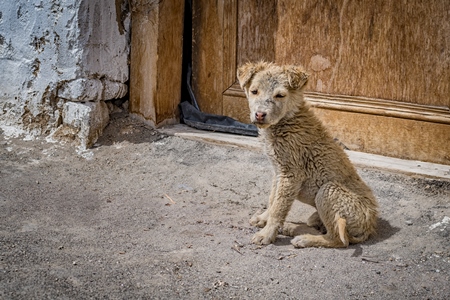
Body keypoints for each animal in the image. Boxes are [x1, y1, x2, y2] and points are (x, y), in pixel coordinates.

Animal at [237, 61, 378, 248]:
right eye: (254, 91)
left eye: (280, 95)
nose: (260, 114)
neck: (287, 120)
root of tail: (369, 228)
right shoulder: (278, 171)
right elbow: (273, 199)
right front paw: (263, 219)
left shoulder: (291, 174)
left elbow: (279, 207)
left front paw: (266, 234)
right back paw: (293, 227)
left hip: (328, 191)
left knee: (338, 239)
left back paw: (303, 238)